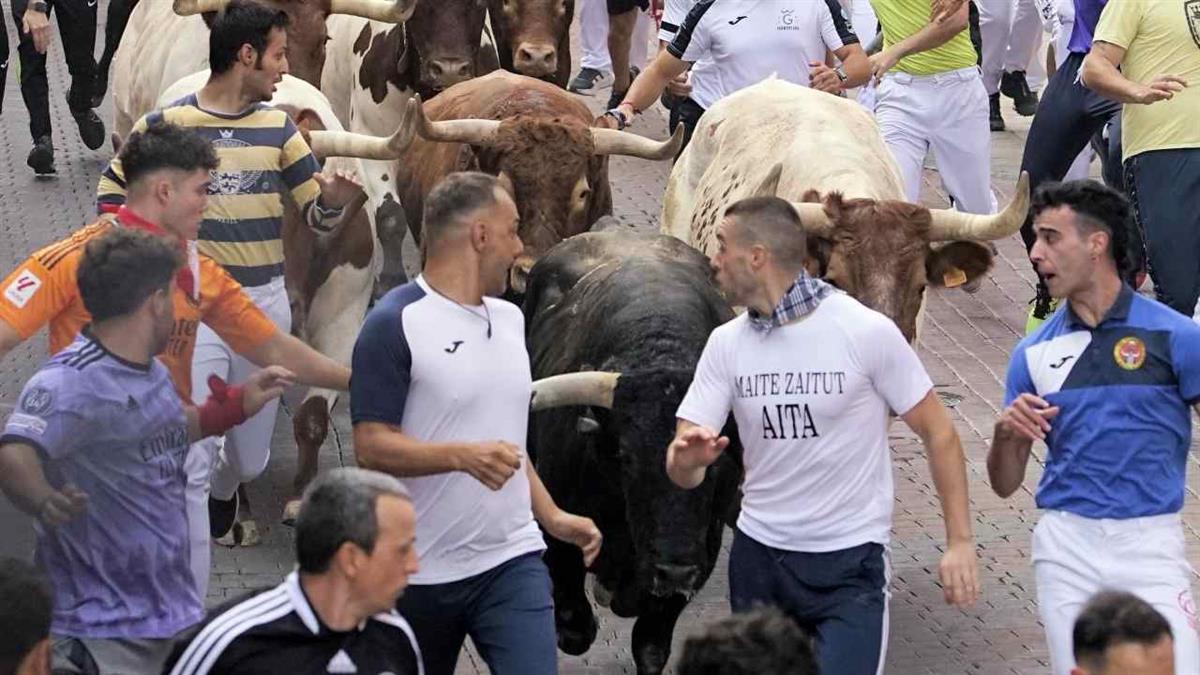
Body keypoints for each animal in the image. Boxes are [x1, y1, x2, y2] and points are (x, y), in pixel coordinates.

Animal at [523, 233, 739, 672]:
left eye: (716, 463)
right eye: (625, 457)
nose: (674, 570)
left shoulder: (701, 555)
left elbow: (650, 645)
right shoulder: (559, 534)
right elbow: (575, 630)